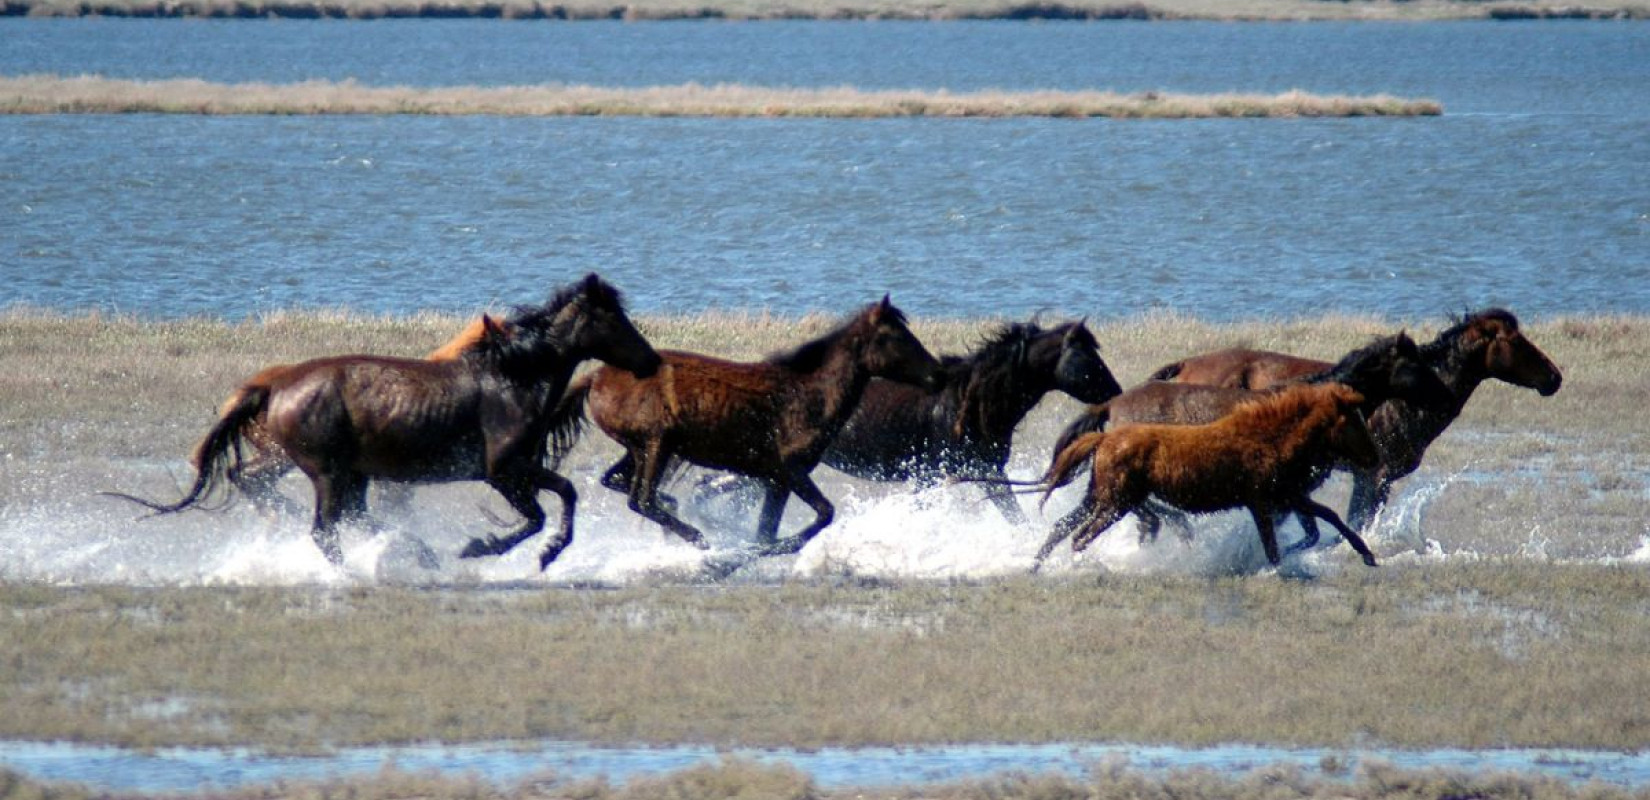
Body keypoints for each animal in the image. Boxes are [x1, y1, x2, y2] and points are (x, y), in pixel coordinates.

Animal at [104, 273, 663, 567]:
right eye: (612, 318)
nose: (651, 361)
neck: (511, 375)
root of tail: (275, 385)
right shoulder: (502, 471)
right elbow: (541, 513)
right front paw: (483, 548)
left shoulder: (518, 469)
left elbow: (563, 497)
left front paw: (543, 554)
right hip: (328, 473)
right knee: (325, 529)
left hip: (317, 467)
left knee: (259, 481)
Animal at [561, 295, 943, 554]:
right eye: (897, 337)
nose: (937, 374)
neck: (807, 395)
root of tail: (595, 377)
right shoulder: (790, 471)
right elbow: (822, 514)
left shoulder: (777, 480)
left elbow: (767, 531)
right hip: (658, 445)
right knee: (641, 500)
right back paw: (699, 538)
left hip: (640, 449)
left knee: (618, 483)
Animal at [1029, 384, 1379, 570]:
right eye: (1354, 420)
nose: (1374, 458)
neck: (1270, 438)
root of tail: (1103, 438)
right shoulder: (1262, 501)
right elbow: (1272, 546)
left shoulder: (1285, 495)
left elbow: (1329, 515)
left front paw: (1367, 554)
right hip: (1118, 503)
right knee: (1082, 536)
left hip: (1101, 497)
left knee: (1064, 527)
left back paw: (1037, 566)